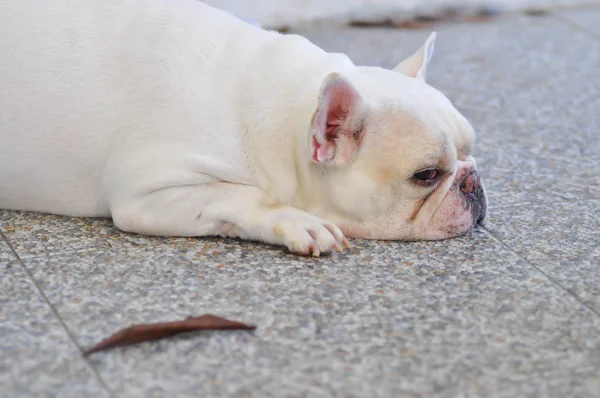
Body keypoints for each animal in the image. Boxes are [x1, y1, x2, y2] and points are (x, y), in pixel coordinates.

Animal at [0, 0, 488, 255]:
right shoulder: (145, 192)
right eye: (426, 175)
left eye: (471, 150)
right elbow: (242, 195)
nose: (473, 182)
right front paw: (298, 221)